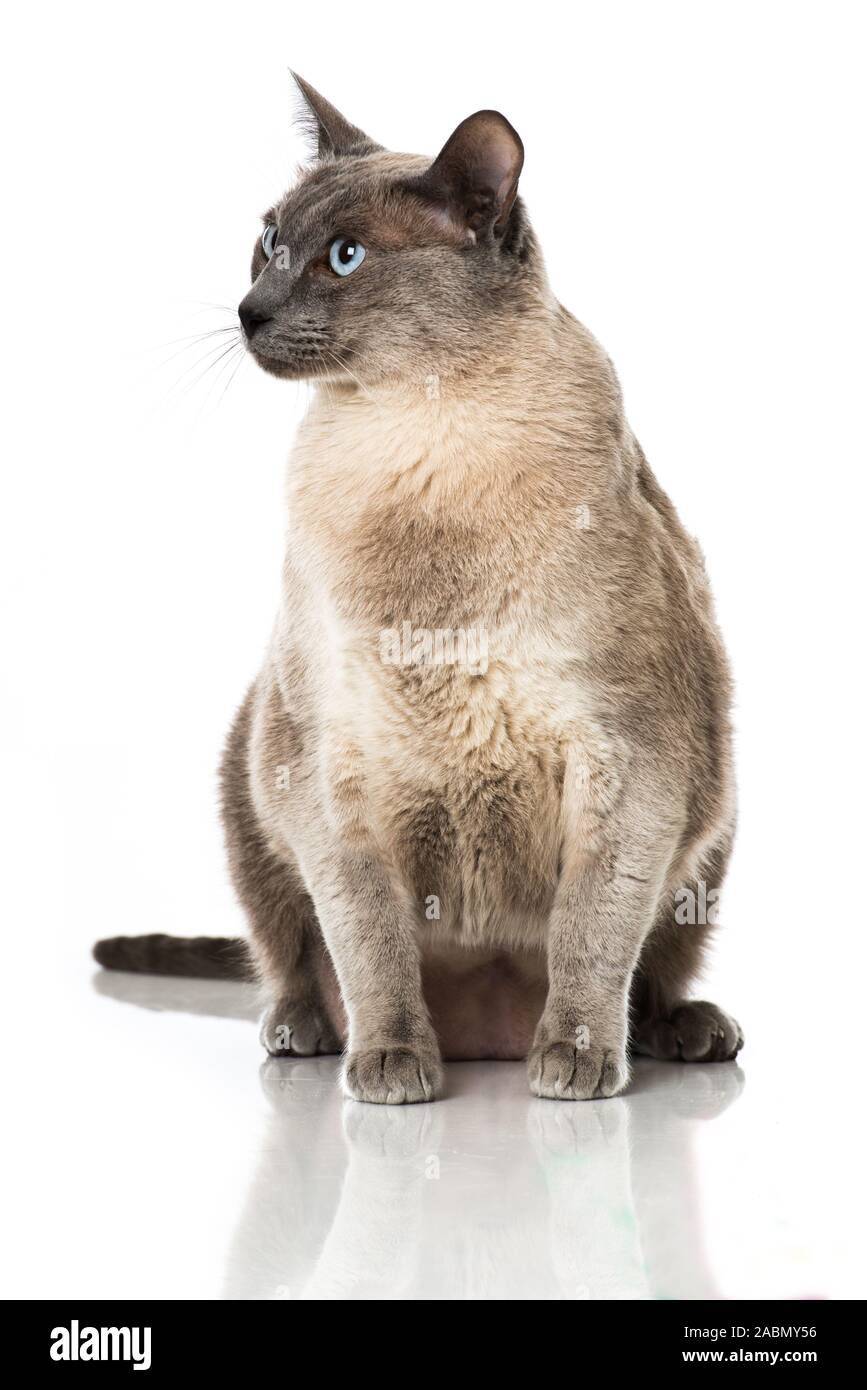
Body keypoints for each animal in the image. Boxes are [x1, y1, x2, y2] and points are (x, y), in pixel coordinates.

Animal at [96, 76, 744, 1100]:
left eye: (345, 257)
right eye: (269, 242)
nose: (249, 309)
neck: (419, 432)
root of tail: (489, 1034)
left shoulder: (630, 763)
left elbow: (593, 930)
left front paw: (574, 1061)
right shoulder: (331, 779)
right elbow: (370, 942)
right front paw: (395, 1066)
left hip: (712, 836)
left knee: (656, 971)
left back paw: (685, 1034)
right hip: (249, 785)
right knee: (289, 957)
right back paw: (308, 1036)